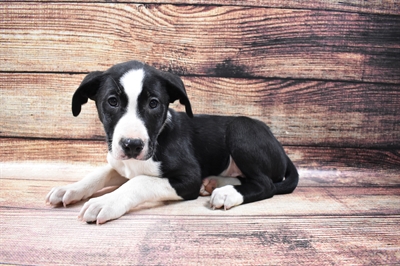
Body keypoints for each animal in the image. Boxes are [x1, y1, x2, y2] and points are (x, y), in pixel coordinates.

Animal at [45, 60, 298, 224]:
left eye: (154, 103)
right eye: (112, 101)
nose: (132, 145)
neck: (157, 138)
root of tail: (282, 151)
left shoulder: (188, 178)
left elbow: (140, 182)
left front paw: (106, 202)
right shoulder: (123, 163)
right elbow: (101, 172)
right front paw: (70, 188)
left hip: (241, 129)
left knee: (266, 184)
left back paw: (227, 193)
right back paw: (216, 182)